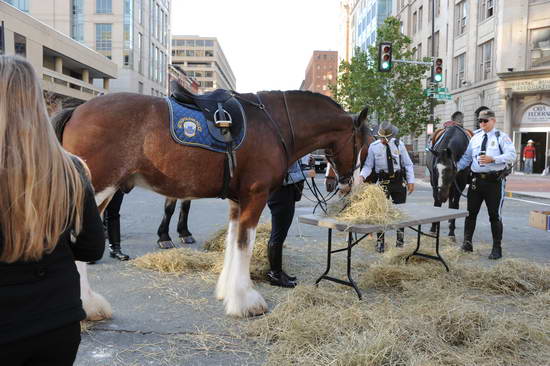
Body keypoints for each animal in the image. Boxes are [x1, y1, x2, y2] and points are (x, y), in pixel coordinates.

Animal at [54, 89, 368, 318]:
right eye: (364, 143)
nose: (347, 183)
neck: (274, 125)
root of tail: (77, 110)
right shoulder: (255, 197)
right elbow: (244, 245)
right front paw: (245, 301)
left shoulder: (236, 201)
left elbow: (232, 243)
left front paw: (227, 292)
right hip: (98, 191)